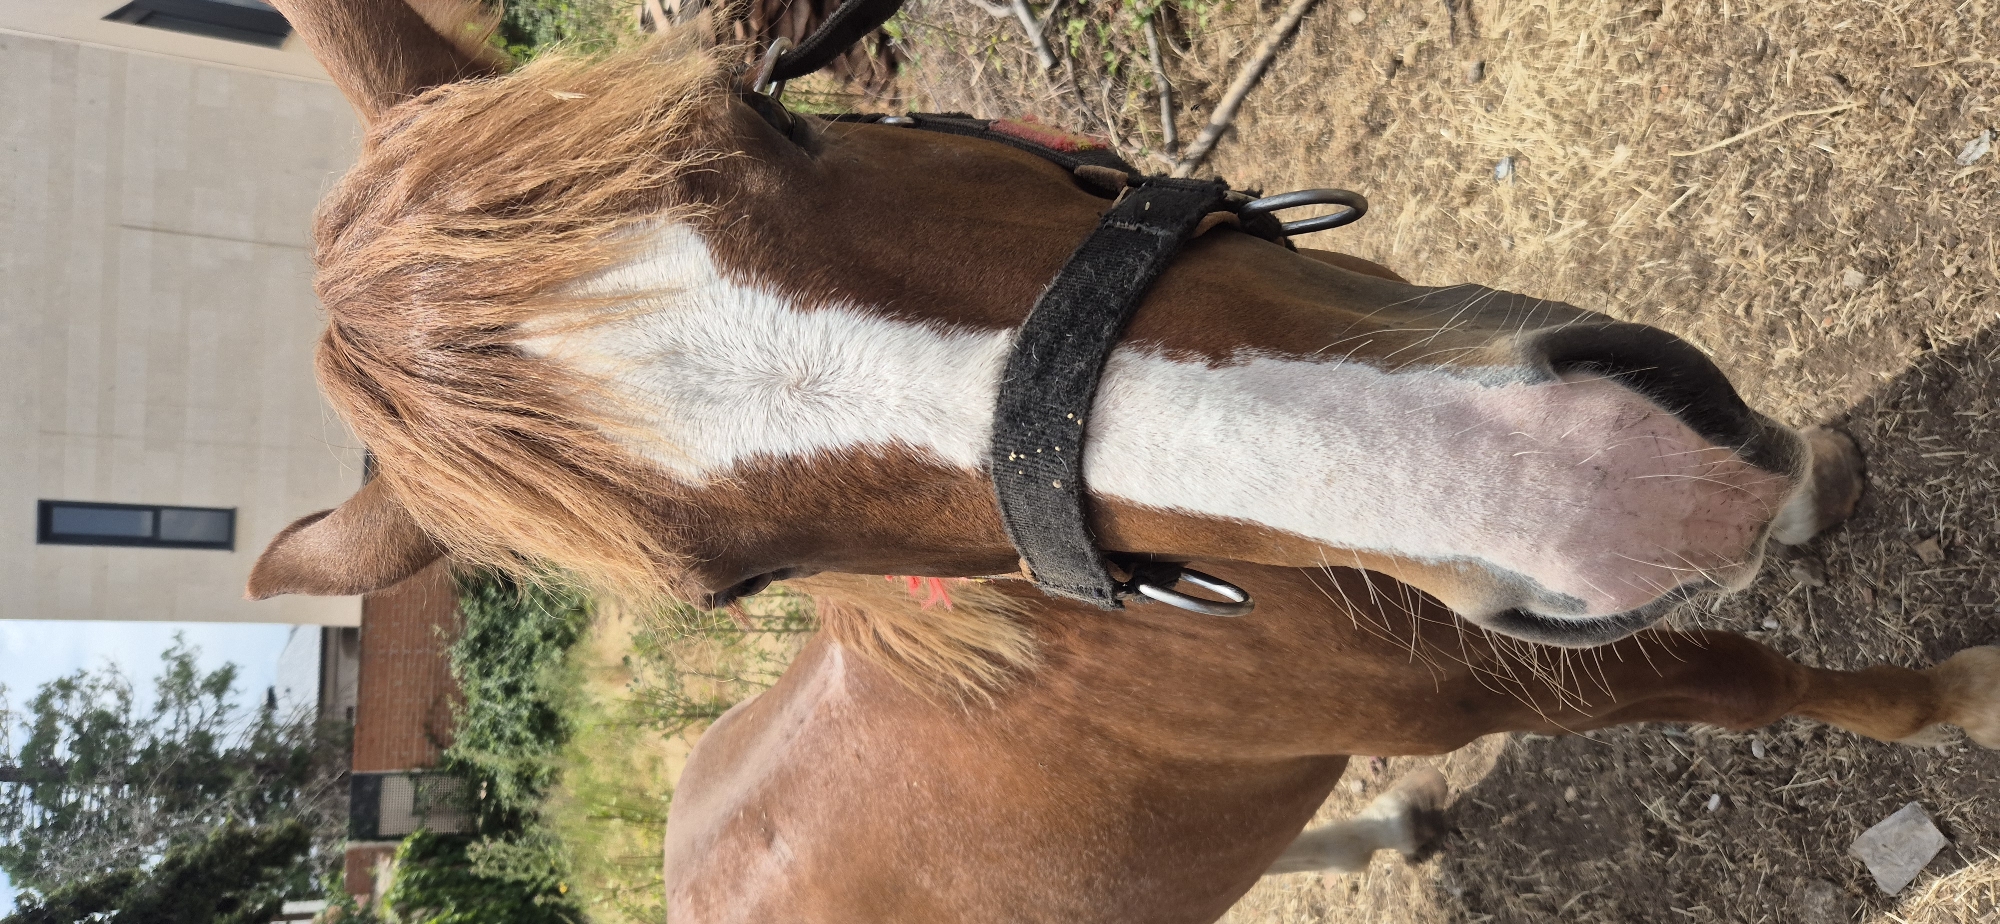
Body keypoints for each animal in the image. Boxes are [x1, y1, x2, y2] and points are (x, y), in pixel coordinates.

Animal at [239, 3, 2000, 920]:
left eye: (775, 115)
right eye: (743, 583)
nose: (1600, 485)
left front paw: (1794, 480)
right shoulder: (1511, 678)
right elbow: (1755, 679)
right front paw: (1959, 695)